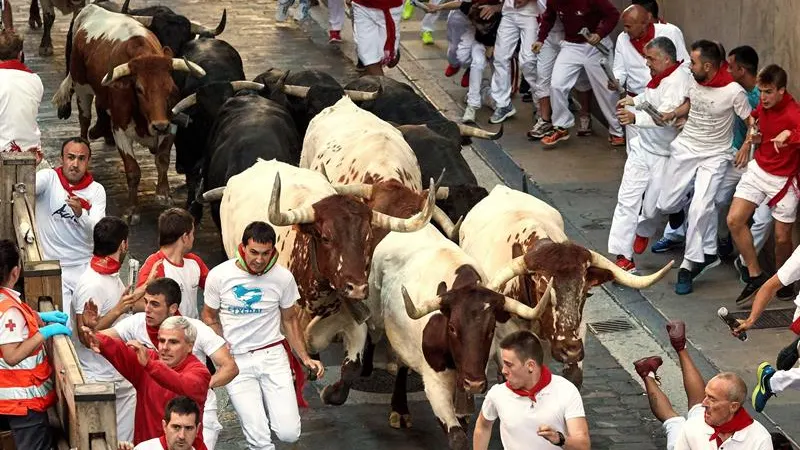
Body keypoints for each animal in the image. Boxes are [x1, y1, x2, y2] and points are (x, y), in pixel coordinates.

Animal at [51, 5, 205, 223]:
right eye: (139, 89)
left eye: (170, 87)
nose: (159, 125)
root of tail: (91, 9)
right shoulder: (120, 129)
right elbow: (133, 170)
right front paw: (132, 210)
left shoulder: (172, 124)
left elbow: (163, 159)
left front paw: (163, 194)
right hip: (82, 88)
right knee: (84, 119)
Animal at [368, 227, 552, 448]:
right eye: (452, 328)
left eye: (491, 328)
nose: (474, 383)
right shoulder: (435, 381)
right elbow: (457, 436)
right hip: (376, 312)